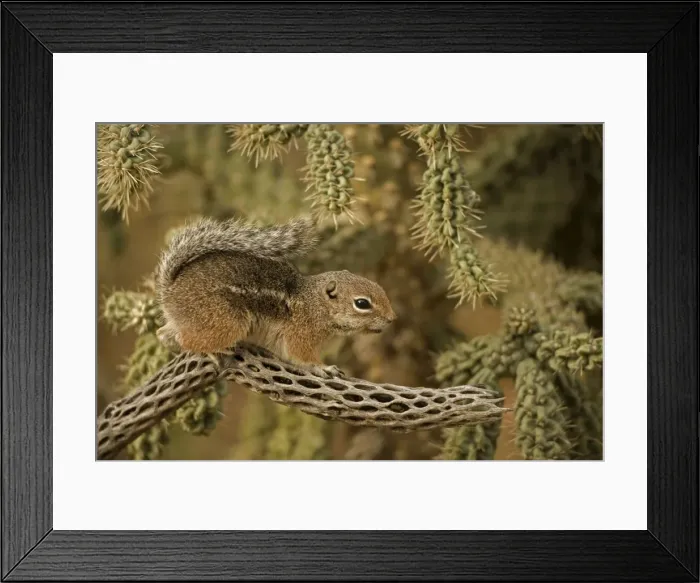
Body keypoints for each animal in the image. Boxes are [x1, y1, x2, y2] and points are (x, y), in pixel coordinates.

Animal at [154, 215, 397, 377]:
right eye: (362, 303)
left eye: (380, 288)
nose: (392, 319)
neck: (315, 303)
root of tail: (170, 291)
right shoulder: (301, 335)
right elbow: (302, 356)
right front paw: (324, 367)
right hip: (227, 321)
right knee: (186, 340)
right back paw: (213, 350)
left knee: (162, 334)